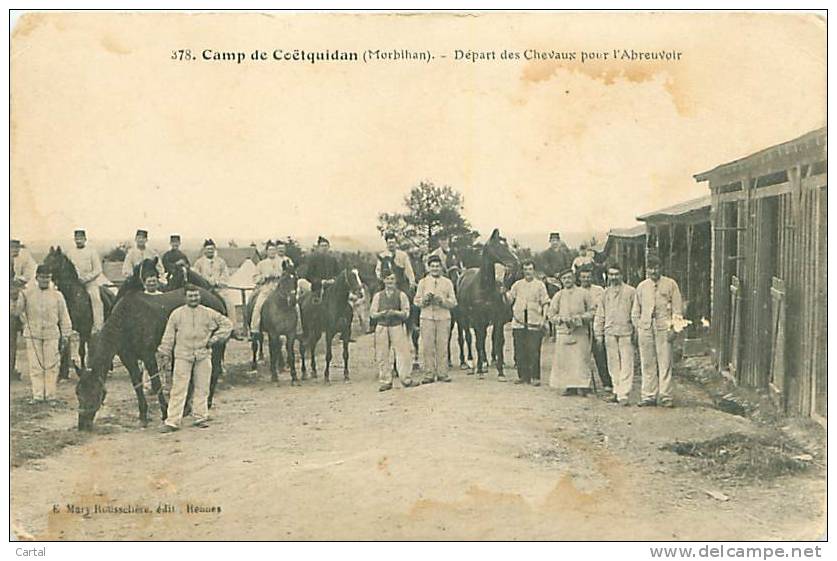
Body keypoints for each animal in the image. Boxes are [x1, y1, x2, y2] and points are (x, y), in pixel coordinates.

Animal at [43, 247, 116, 378]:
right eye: (45, 259)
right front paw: (61, 374)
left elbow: (81, 351)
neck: (72, 296)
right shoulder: (64, 329)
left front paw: (82, 370)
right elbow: (62, 348)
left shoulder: (84, 329)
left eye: (53, 261)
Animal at [75, 286, 229, 430]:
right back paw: (186, 408)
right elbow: (137, 384)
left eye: (93, 392)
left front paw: (165, 412)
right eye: (77, 392)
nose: (82, 425)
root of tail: (216, 298)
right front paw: (143, 416)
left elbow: (156, 383)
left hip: (215, 346)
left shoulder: (148, 355)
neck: (128, 319)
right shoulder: (128, 358)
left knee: (214, 371)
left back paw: (207, 403)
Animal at [454, 230, 520, 378]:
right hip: (464, 318)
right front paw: (479, 370)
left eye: (507, 245)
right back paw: (470, 362)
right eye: (498, 246)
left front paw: (500, 371)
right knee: (468, 338)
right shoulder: (478, 318)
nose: (515, 262)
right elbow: (478, 341)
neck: (484, 287)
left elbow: (497, 340)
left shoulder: (497, 318)